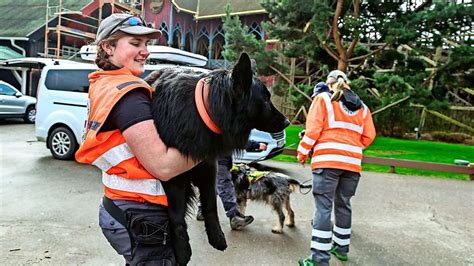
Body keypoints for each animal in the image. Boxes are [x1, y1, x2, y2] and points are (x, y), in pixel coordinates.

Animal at [144, 53, 288, 264]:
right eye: (265, 100)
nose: (288, 122)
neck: (204, 109)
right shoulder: (172, 174)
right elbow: (177, 216)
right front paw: (182, 249)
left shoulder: (208, 167)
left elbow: (211, 203)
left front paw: (216, 236)